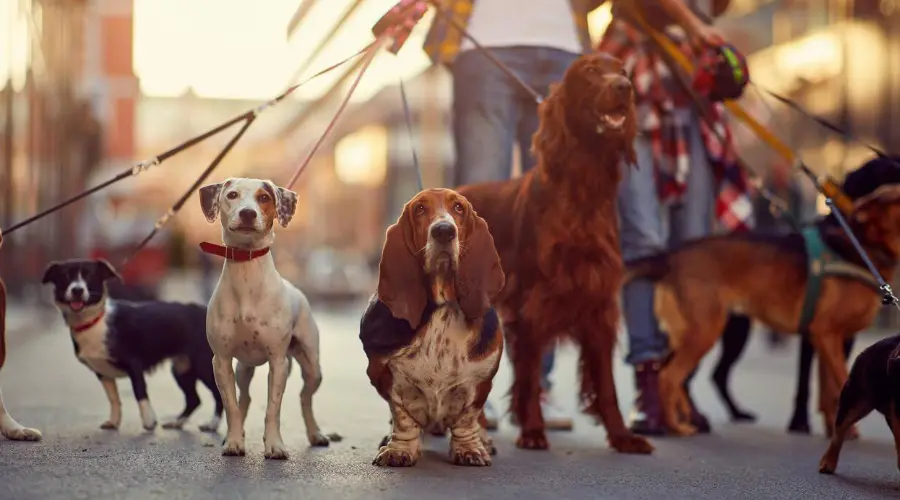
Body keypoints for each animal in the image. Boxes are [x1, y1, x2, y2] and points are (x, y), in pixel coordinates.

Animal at [40, 258, 225, 434]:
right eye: (65, 276)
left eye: (89, 275)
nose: (77, 290)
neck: (94, 321)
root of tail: (206, 311)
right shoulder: (103, 373)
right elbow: (114, 399)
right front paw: (114, 421)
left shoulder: (134, 364)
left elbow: (140, 392)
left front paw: (149, 421)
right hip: (181, 368)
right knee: (194, 399)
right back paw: (177, 422)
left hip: (203, 364)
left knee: (219, 395)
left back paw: (212, 424)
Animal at [200, 177, 330, 460]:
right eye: (232, 195)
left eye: (264, 198)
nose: (248, 213)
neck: (247, 274)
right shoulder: (221, 361)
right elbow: (231, 405)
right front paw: (234, 442)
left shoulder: (277, 362)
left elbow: (273, 408)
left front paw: (275, 445)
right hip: (242, 369)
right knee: (245, 398)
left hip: (312, 367)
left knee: (305, 397)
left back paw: (315, 433)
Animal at [362, 188, 510, 468]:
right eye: (420, 208)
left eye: (459, 208)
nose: (443, 231)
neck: (442, 308)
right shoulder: (385, 375)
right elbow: (403, 418)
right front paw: (399, 450)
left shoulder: (479, 382)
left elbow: (468, 418)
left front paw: (470, 449)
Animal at [454, 52, 652, 456]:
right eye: (590, 71)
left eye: (623, 70)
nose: (624, 87)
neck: (583, 190)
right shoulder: (533, 300)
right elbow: (530, 376)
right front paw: (532, 430)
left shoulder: (598, 306)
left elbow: (606, 385)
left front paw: (622, 436)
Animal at [624, 184, 900, 438]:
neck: (865, 247)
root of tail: (671, 257)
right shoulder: (826, 334)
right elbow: (840, 381)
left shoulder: (827, 340)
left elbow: (829, 391)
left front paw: (837, 429)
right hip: (705, 331)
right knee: (669, 377)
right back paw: (677, 427)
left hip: (687, 333)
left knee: (671, 375)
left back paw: (684, 419)